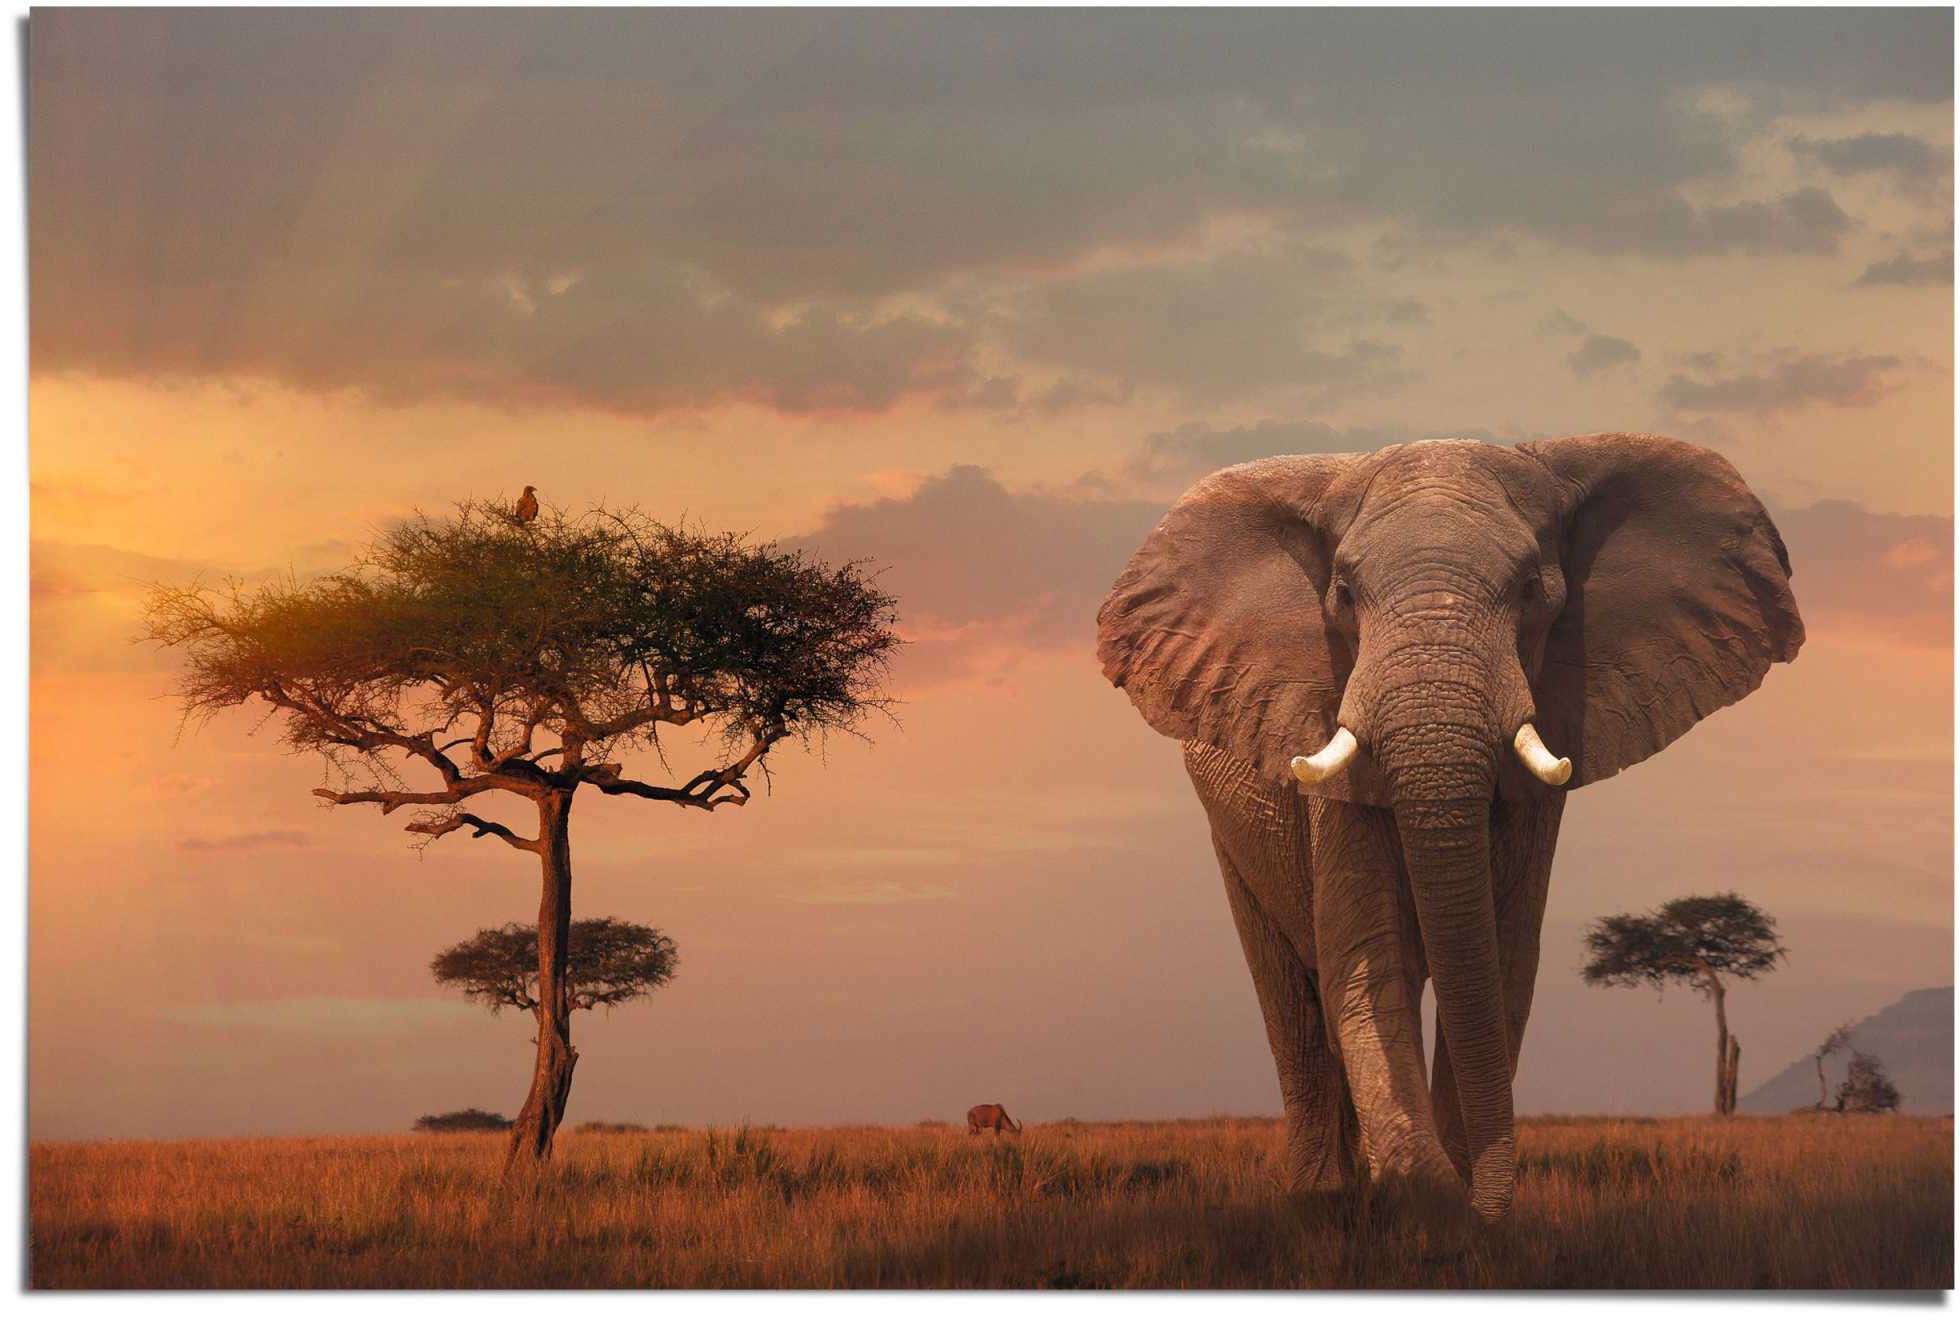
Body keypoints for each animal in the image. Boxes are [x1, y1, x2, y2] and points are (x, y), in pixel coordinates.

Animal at [1096, 435, 1802, 1222]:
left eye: (1531, 591)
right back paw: (1324, 1196)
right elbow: (1371, 956)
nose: (1483, 1206)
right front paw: (1421, 1193)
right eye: (1344, 594)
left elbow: (1501, 961)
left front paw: (1458, 1208)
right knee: (1293, 999)